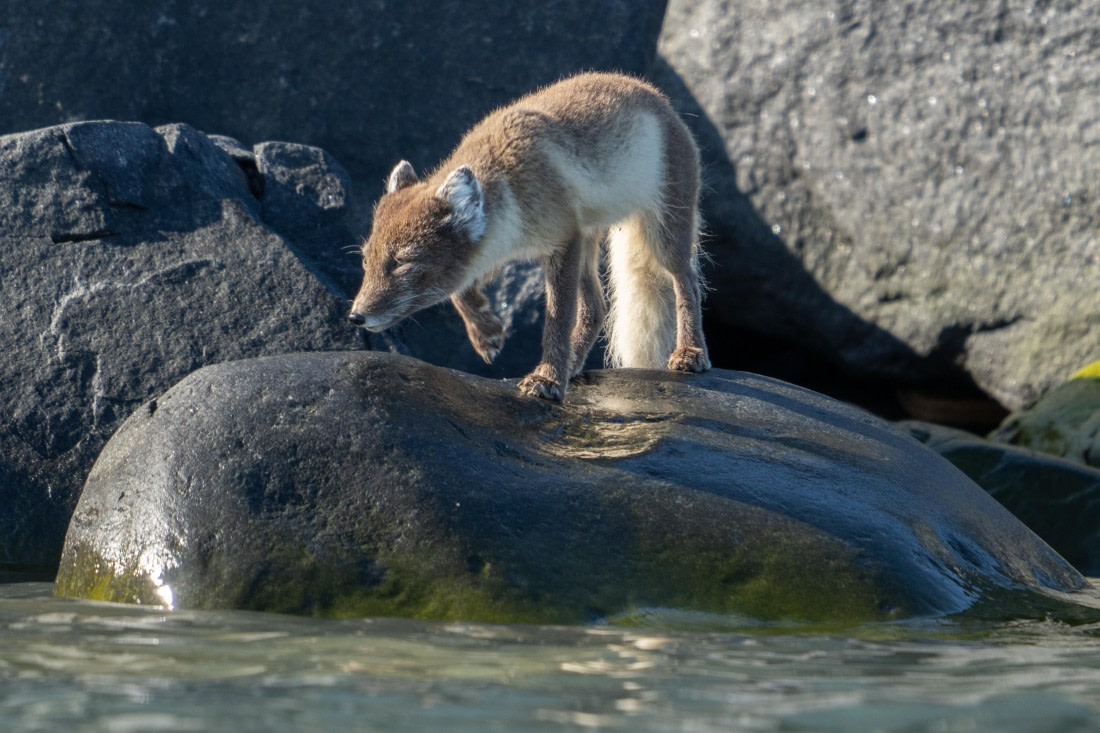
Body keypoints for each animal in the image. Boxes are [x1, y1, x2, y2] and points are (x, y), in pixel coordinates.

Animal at [348, 72, 711, 401]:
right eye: (366, 261)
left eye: (402, 262)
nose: (355, 316)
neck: (509, 181)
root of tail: (658, 98)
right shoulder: (496, 248)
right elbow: (460, 291)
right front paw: (485, 331)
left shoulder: (562, 241)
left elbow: (557, 318)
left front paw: (547, 379)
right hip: (589, 240)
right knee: (597, 306)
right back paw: (574, 364)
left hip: (663, 234)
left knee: (687, 281)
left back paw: (691, 352)